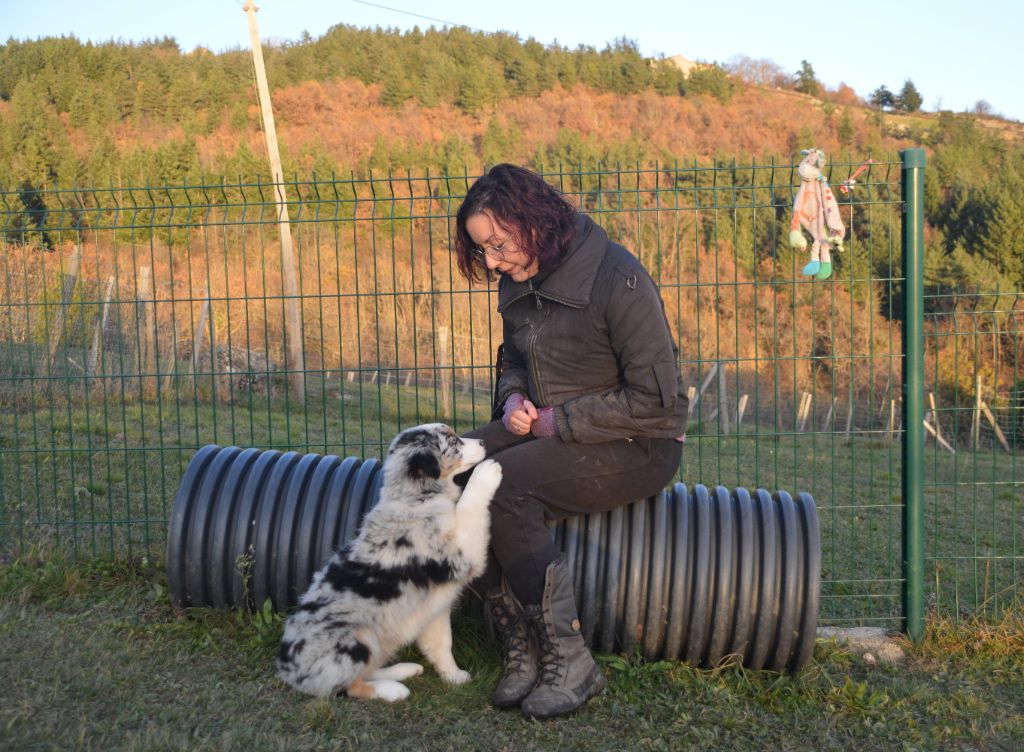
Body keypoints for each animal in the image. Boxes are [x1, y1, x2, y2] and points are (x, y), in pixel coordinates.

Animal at [274, 424, 501, 700]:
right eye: (452, 441)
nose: (483, 442)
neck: (413, 498)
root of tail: (287, 672)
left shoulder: (434, 606)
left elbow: (441, 643)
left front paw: (454, 676)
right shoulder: (461, 552)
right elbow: (469, 508)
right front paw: (487, 472)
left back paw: (405, 669)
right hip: (358, 639)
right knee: (348, 686)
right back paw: (394, 689)